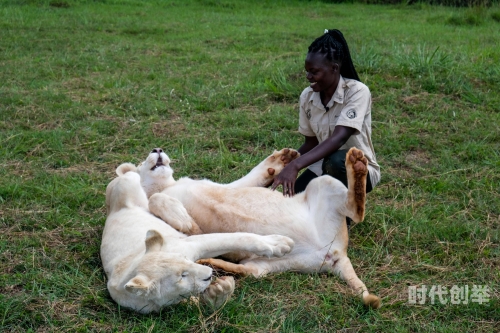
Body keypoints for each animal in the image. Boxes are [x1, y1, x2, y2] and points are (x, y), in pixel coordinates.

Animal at [117, 147, 380, 308]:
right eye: (142, 161)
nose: (157, 150)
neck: (167, 185)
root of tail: (335, 254)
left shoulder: (228, 185)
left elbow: (253, 176)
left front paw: (282, 159)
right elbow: (155, 200)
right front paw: (186, 221)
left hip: (323, 183)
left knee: (356, 211)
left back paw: (357, 163)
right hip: (271, 262)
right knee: (251, 272)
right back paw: (211, 263)